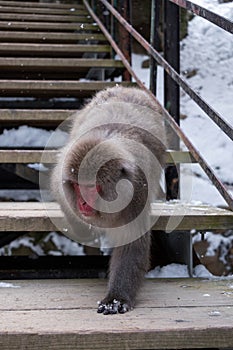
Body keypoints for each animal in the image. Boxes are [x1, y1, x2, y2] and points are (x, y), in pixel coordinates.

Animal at [51, 87, 167, 314]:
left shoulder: (137, 196)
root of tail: (129, 88)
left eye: (91, 187)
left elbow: (131, 244)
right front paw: (84, 230)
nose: (82, 204)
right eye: (77, 186)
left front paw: (116, 298)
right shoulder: (62, 182)